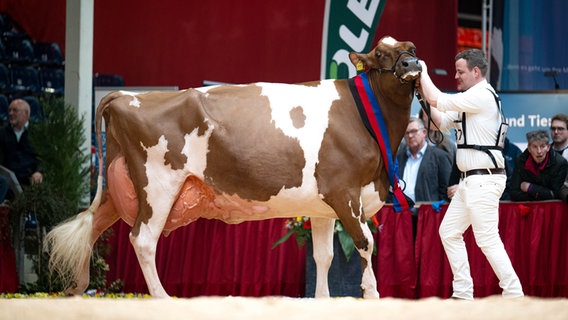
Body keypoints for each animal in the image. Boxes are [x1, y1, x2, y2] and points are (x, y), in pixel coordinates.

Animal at [45, 36, 422, 298]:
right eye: (380, 55)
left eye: (412, 48)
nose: (412, 64)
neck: (362, 114)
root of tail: (126, 95)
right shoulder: (344, 193)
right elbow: (366, 243)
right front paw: (371, 295)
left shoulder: (323, 205)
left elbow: (323, 257)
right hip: (159, 185)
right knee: (143, 240)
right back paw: (162, 298)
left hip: (117, 185)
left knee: (92, 227)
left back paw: (76, 291)